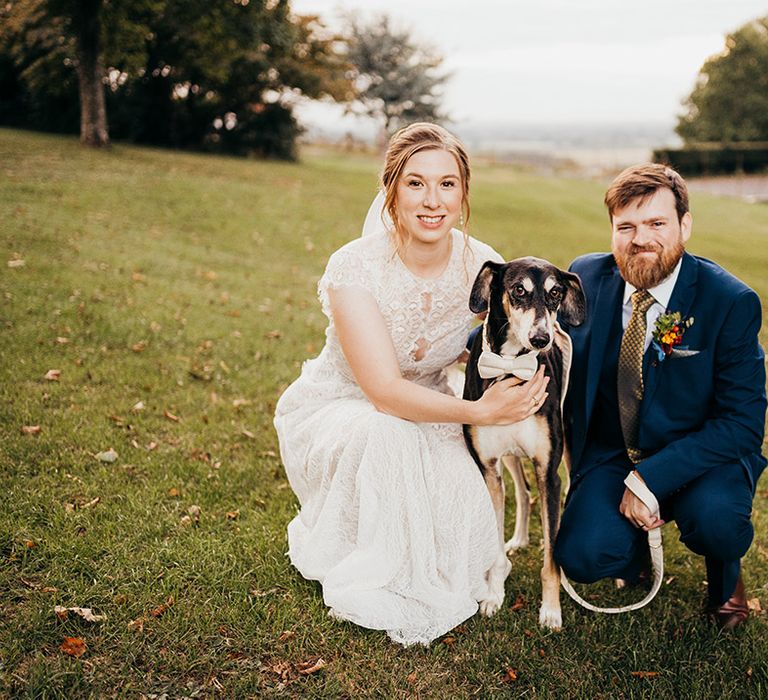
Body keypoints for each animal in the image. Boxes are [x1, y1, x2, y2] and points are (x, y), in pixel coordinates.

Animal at [462, 256, 588, 628]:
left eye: (556, 293)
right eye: (518, 290)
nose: (541, 338)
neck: (510, 369)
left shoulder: (548, 470)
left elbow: (551, 558)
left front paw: (551, 611)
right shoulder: (488, 469)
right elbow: (493, 546)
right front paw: (493, 595)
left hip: (568, 446)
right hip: (510, 457)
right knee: (522, 491)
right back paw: (518, 539)